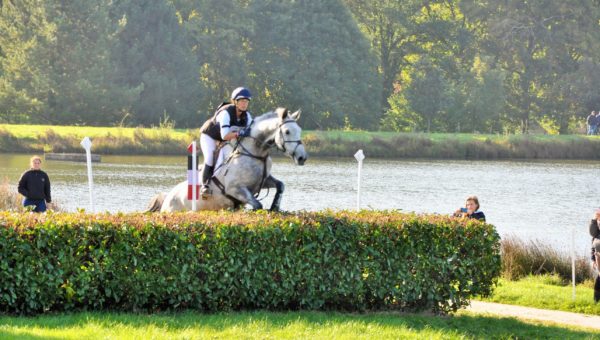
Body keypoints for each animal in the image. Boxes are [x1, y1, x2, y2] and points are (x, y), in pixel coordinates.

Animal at [149, 107, 310, 211]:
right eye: (287, 131)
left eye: (300, 131)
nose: (302, 157)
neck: (256, 152)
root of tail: (167, 197)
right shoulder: (235, 189)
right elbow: (257, 205)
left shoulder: (262, 181)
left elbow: (280, 185)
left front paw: (275, 207)